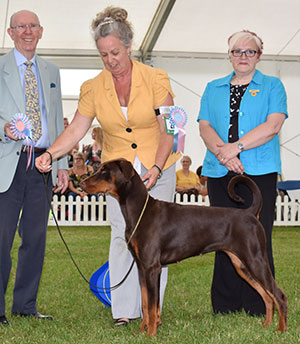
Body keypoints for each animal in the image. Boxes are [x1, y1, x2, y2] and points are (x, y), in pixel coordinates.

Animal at [79, 159, 286, 336]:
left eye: (104, 170)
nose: (81, 183)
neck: (138, 211)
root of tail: (250, 213)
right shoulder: (142, 267)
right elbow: (145, 303)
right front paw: (141, 331)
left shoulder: (152, 267)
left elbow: (153, 306)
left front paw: (151, 334)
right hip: (241, 264)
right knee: (267, 296)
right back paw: (266, 325)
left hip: (255, 259)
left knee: (279, 296)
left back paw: (281, 330)